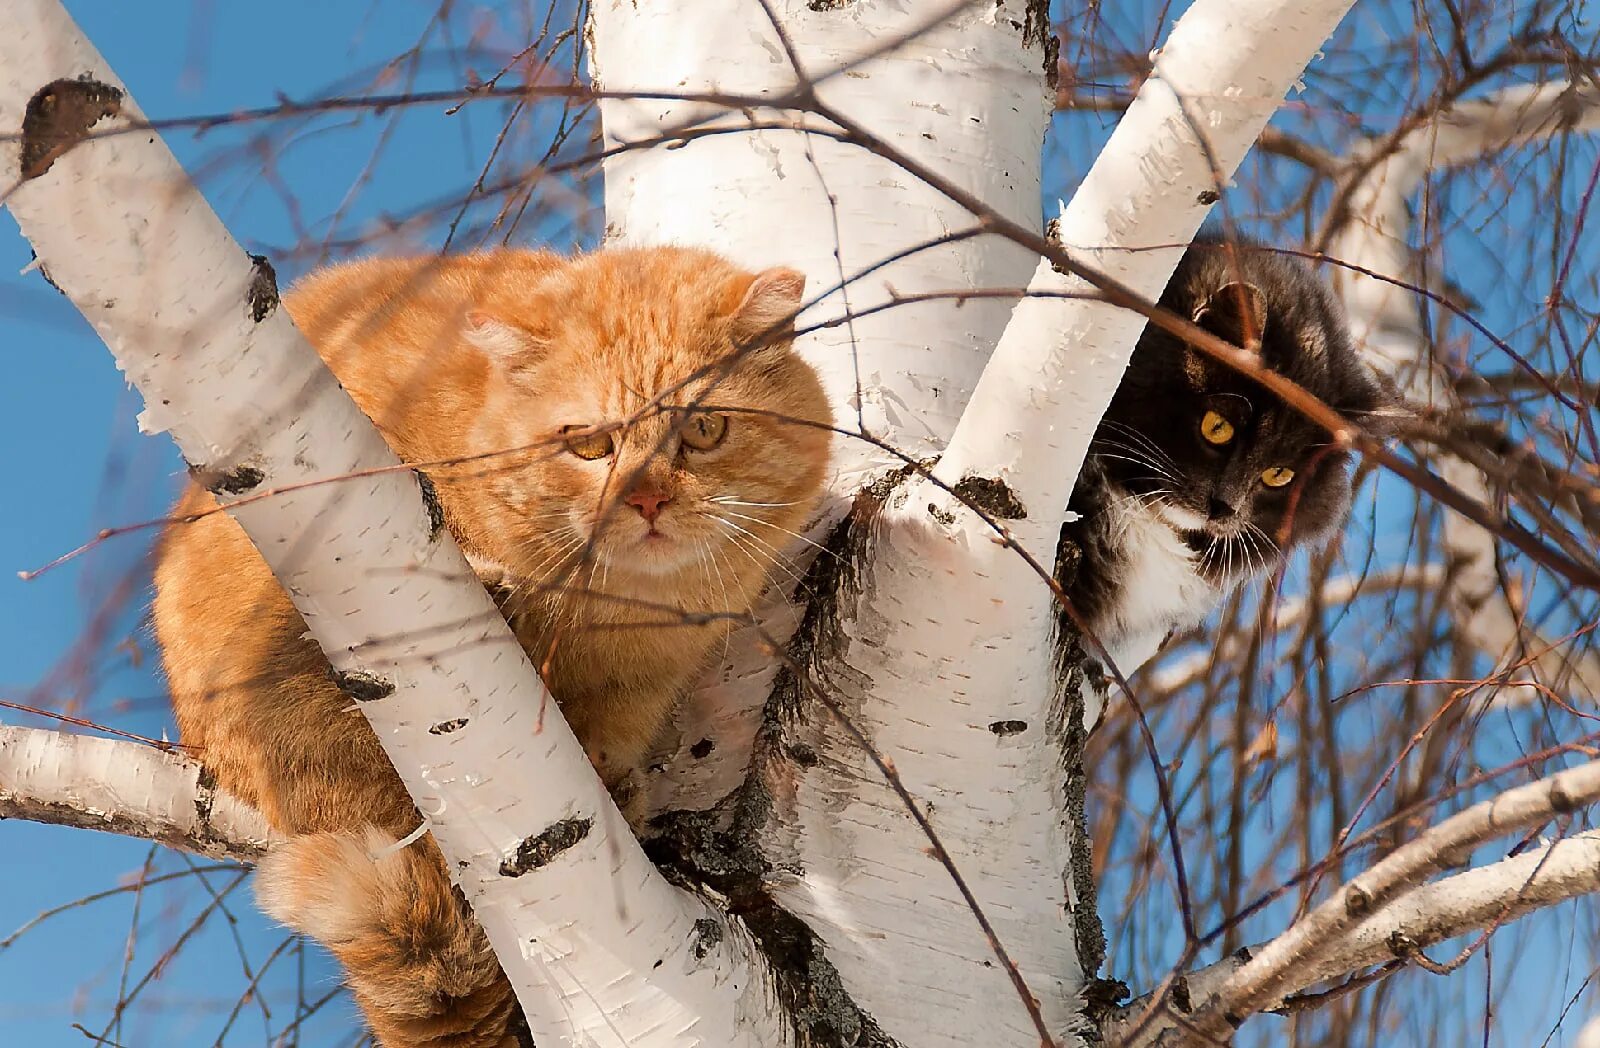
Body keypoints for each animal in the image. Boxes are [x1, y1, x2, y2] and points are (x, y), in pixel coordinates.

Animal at [147, 248, 838, 1048]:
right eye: (590, 443)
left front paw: (613, 779)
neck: (621, 619)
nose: (647, 499)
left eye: (702, 429)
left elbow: (613, 736)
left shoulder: (639, 691)